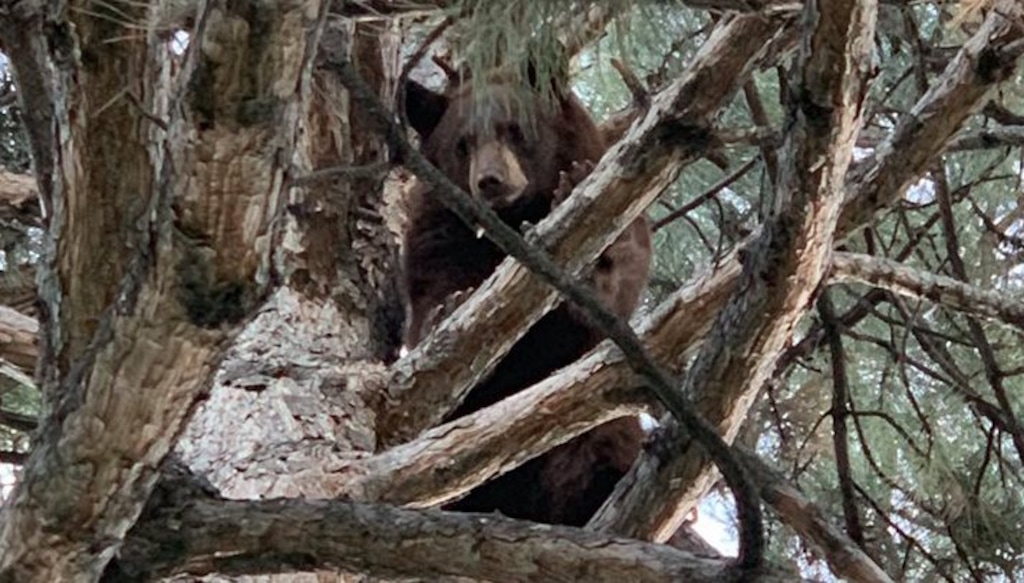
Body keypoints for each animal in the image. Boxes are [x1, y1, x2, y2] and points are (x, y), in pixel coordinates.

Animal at [401, 65, 652, 527]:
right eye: (462, 143)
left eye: (514, 130)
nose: (490, 181)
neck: (512, 221)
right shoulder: (439, 233)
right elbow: (431, 290)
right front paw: (448, 309)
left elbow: (614, 278)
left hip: (591, 437)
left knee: (598, 458)